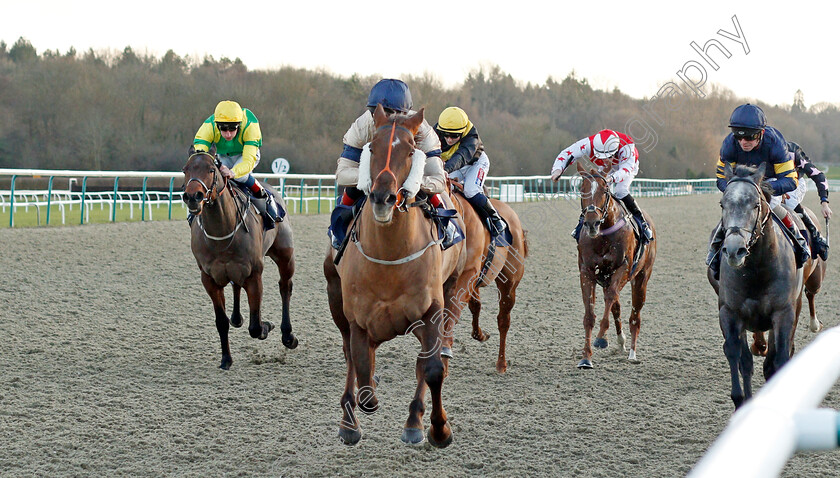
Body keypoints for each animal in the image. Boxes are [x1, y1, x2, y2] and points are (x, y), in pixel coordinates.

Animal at [182, 146, 296, 370]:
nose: (193, 197)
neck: (222, 230)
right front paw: (226, 359)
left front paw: (266, 326)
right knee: (236, 287)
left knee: (285, 287)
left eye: (211, 170)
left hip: (285, 255)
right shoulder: (209, 279)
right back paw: (237, 318)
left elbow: (255, 325)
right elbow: (221, 321)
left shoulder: (254, 275)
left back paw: (288, 335)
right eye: (185, 169)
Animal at [324, 104, 466, 448]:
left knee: (427, 362)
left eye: (412, 150)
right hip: (336, 299)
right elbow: (361, 370)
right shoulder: (358, 318)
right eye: (372, 148)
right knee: (351, 357)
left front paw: (438, 429)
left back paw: (414, 421)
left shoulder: (431, 311)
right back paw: (349, 421)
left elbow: (431, 370)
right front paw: (357, 412)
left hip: (451, 292)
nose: (383, 197)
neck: (389, 258)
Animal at [576, 162, 660, 368]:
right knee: (616, 306)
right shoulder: (587, 272)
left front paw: (601, 338)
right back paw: (621, 342)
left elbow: (611, 298)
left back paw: (632, 353)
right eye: (582, 189)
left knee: (634, 316)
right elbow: (589, 315)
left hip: (641, 278)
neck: (603, 235)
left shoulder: (623, 268)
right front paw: (586, 357)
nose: (592, 223)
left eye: (605, 190)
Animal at [704, 163, 804, 408]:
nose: (734, 250)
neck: (757, 270)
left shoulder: (783, 313)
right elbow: (737, 356)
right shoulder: (730, 312)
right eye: (722, 204)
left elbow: (780, 358)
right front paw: (741, 400)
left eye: (756, 204)